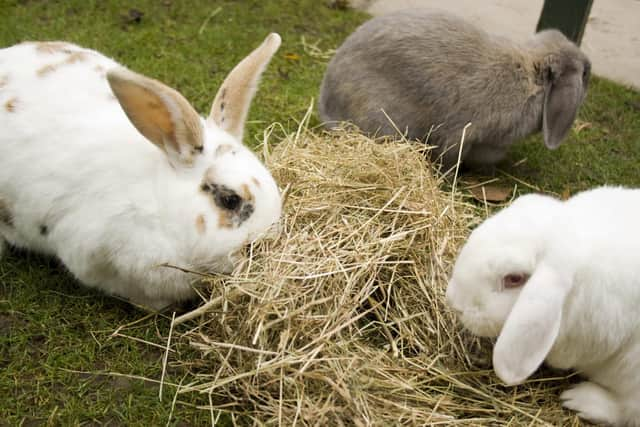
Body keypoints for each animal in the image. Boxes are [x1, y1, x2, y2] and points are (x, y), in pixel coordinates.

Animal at [318, 9, 592, 170]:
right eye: (585, 73)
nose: (589, 66)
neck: (529, 76)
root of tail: (327, 104)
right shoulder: (462, 134)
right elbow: (450, 158)